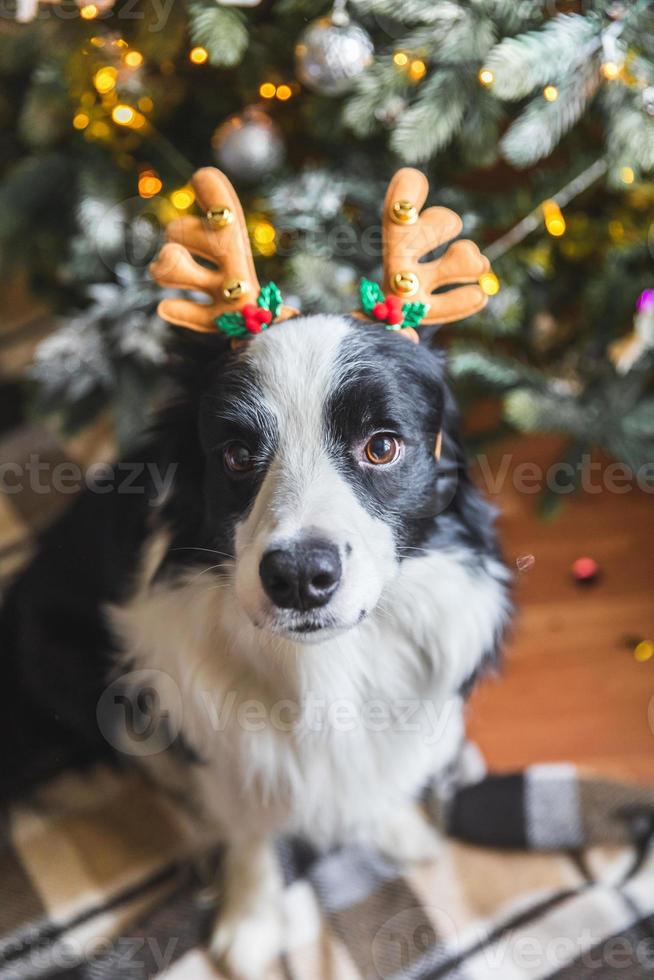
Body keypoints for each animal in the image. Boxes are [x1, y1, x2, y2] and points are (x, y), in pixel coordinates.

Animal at [1, 316, 512, 980]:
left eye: (381, 446)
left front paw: (394, 826)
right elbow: (249, 825)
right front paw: (251, 921)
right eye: (238, 455)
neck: (323, 664)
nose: (299, 576)